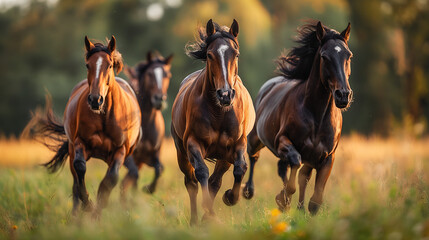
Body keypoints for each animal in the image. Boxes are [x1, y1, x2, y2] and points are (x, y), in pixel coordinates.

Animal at [25, 36, 141, 217]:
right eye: (88, 65)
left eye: (109, 65)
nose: (95, 100)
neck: (104, 116)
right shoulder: (80, 143)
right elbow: (80, 170)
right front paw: (89, 206)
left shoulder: (120, 149)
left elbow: (111, 178)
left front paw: (99, 207)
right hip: (74, 149)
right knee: (75, 181)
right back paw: (76, 216)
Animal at [120, 51, 172, 194]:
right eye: (149, 73)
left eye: (167, 75)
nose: (159, 99)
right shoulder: (129, 156)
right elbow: (134, 175)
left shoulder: (151, 156)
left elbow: (159, 169)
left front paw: (149, 188)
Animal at [171, 19, 256, 224]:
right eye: (210, 55)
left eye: (236, 54)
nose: (225, 94)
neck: (219, 112)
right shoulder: (193, 143)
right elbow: (201, 172)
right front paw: (208, 211)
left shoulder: (237, 144)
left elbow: (240, 169)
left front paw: (230, 197)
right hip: (181, 153)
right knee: (191, 182)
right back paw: (195, 220)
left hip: (223, 157)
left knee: (215, 182)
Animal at [241, 21, 352, 215]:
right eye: (324, 56)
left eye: (349, 55)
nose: (343, 95)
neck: (316, 116)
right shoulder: (282, 141)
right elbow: (294, 164)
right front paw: (282, 199)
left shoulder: (326, 157)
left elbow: (315, 200)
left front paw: (298, 209)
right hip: (256, 138)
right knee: (254, 157)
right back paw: (247, 191)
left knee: (297, 174)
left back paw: (297, 208)